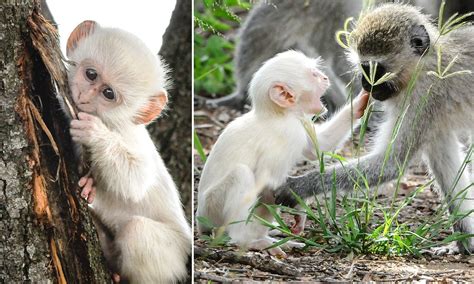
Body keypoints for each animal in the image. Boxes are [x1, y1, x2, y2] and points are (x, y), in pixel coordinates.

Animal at [64, 21, 191, 282]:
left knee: (137, 230)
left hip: (175, 253)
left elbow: (136, 179)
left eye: (108, 94)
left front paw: (94, 134)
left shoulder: (128, 134)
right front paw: (90, 184)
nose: (83, 97)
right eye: (90, 74)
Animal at [196, 50, 370, 258]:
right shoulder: (288, 132)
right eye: (314, 75)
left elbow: (318, 147)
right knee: (243, 176)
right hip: (212, 208)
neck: (278, 114)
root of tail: (200, 222)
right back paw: (248, 240)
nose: (325, 78)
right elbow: (268, 181)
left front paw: (361, 102)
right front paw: (299, 208)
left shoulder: (300, 121)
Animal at [274, 3, 474, 253]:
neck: (426, 65)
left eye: (376, 69)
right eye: (363, 67)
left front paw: (297, 187)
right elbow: (445, 163)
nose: (366, 84)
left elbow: (391, 164)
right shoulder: (431, 115)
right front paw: (464, 242)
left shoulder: (423, 96)